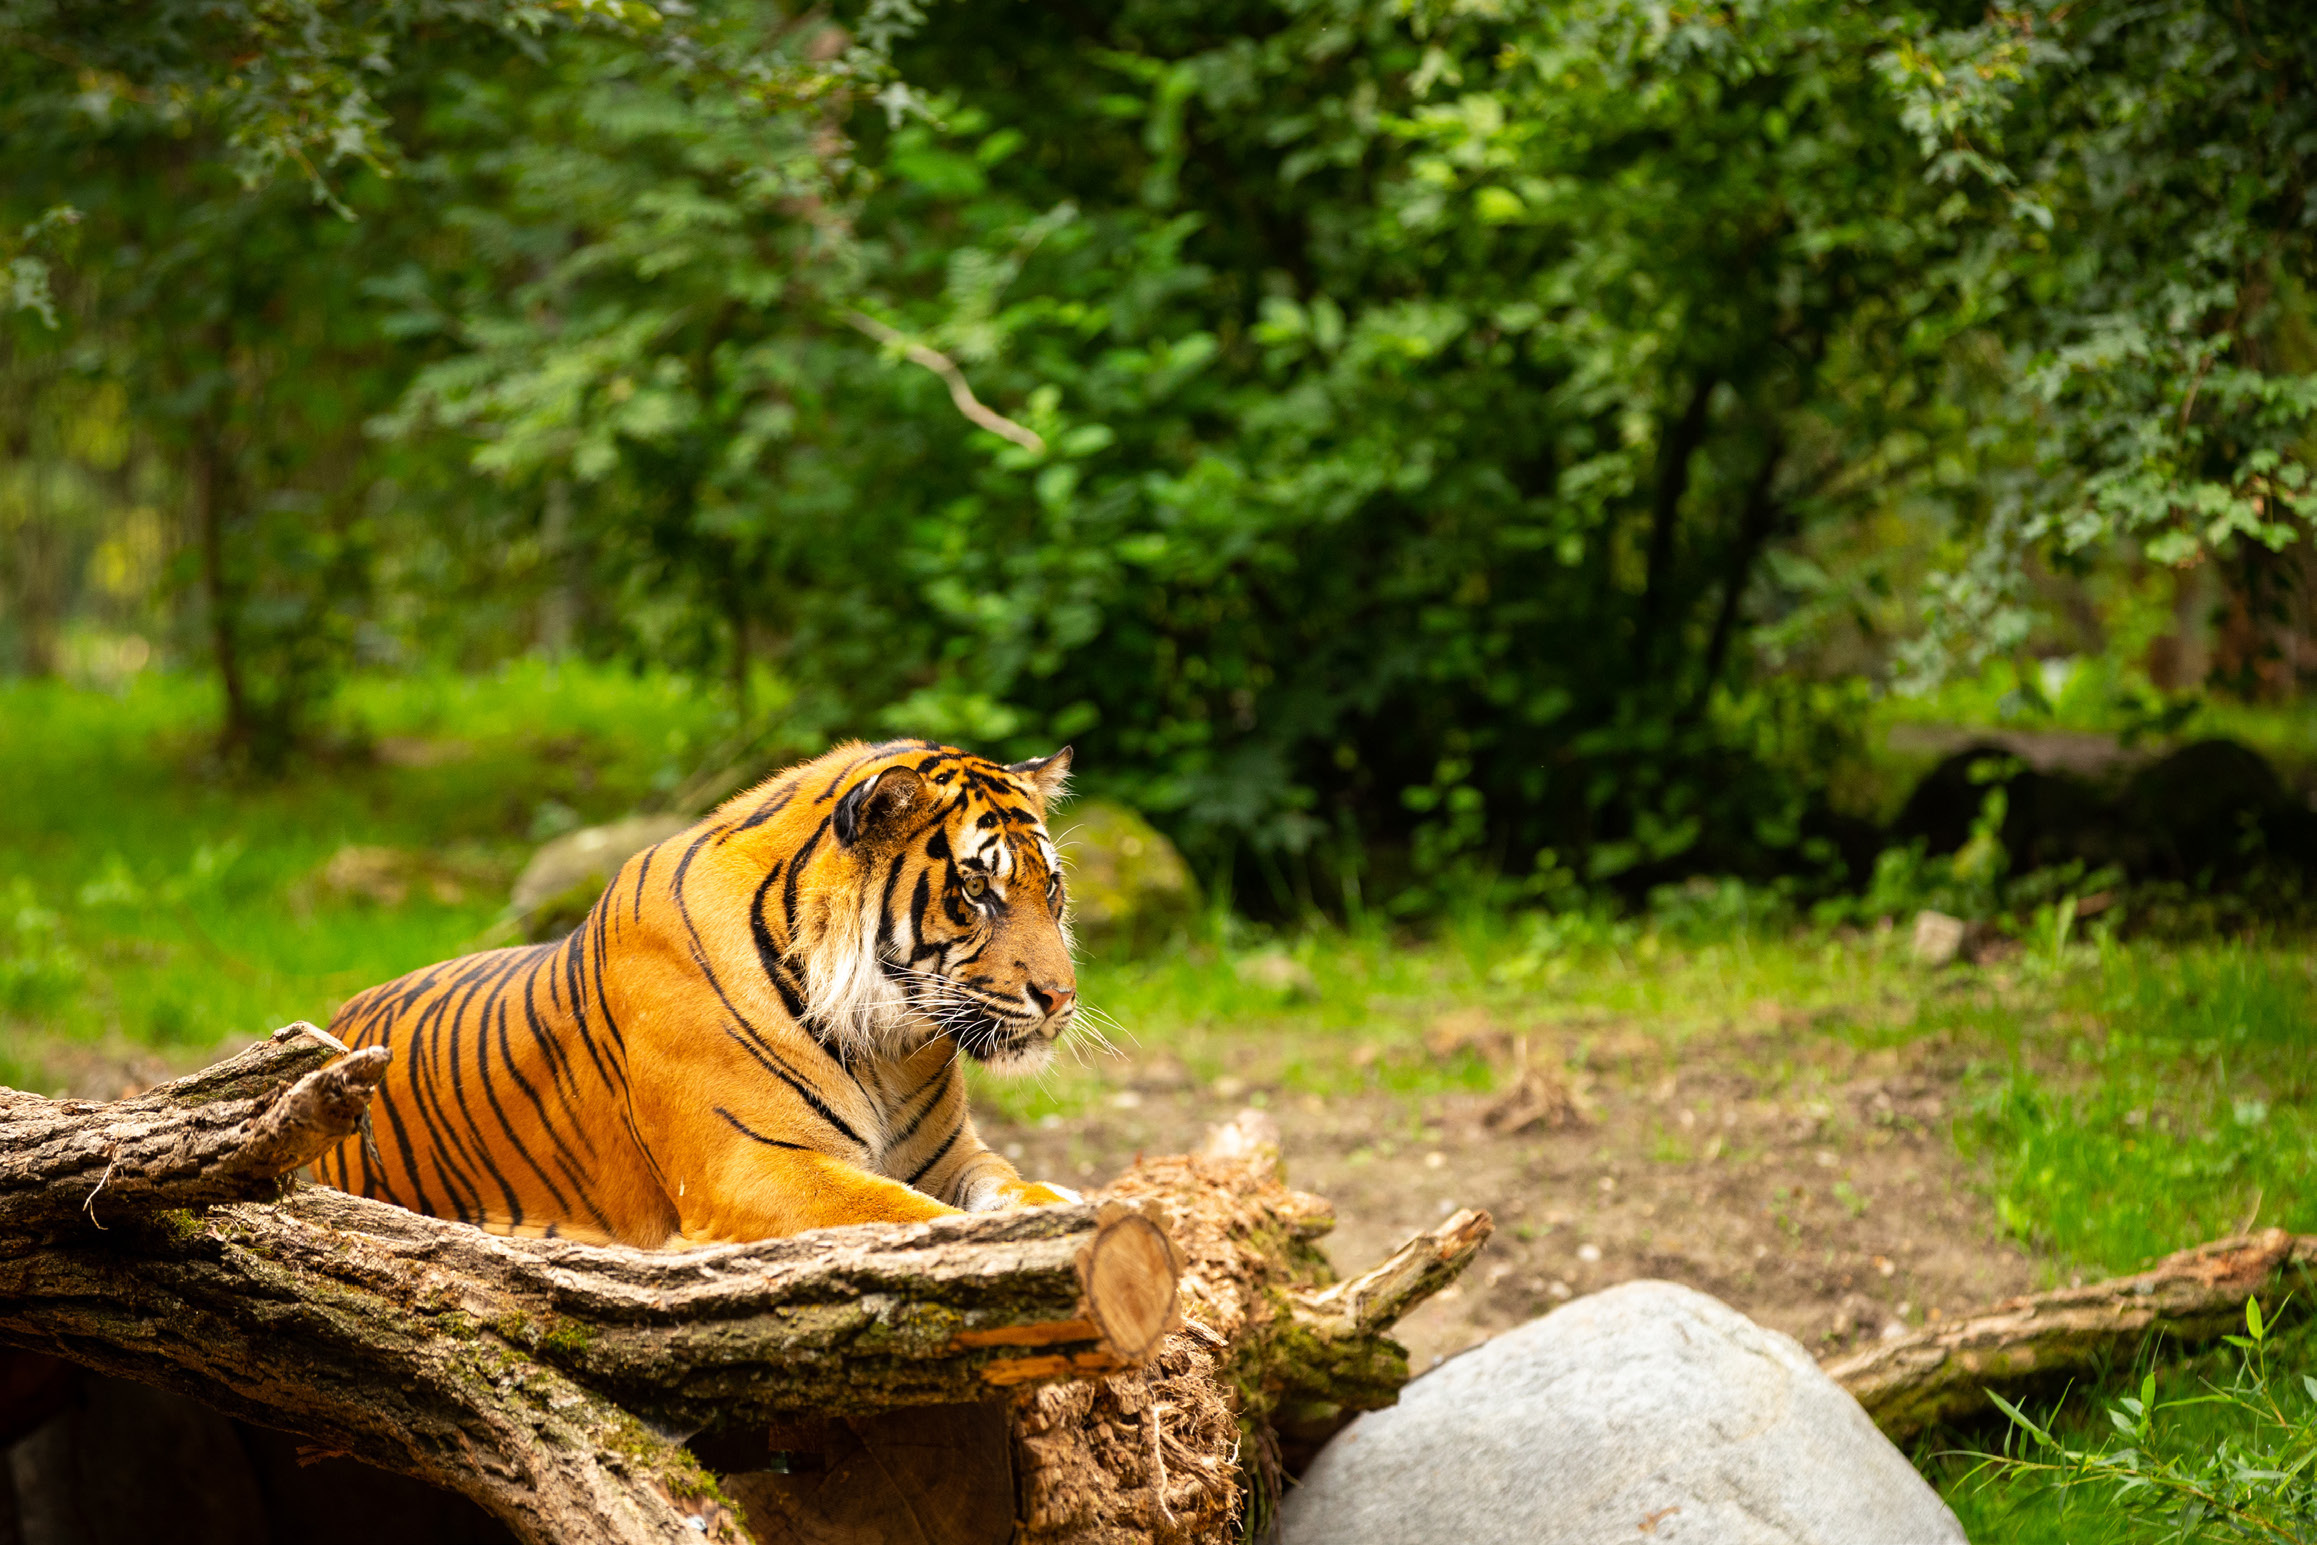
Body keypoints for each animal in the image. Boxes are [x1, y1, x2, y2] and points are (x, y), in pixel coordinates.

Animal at [311, 739, 1087, 1246]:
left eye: (1048, 887)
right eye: (976, 889)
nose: (1060, 997)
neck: (887, 1046)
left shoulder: (951, 1156)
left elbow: (1016, 1185)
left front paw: (1063, 1202)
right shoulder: (753, 1168)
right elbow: (911, 1217)